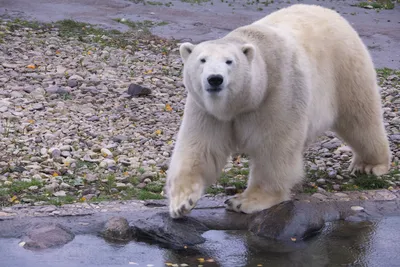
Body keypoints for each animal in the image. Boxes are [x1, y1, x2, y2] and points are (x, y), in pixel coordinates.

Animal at [165, 3, 390, 220]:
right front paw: (182, 203)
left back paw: (369, 165)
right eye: (202, 60)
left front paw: (244, 201)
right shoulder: (205, 109)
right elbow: (201, 148)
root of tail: (333, 14)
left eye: (229, 61)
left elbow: (274, 148)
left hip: (345, 69)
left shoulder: (278, 94)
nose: (215, 79)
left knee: (360, 118)